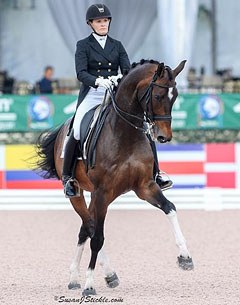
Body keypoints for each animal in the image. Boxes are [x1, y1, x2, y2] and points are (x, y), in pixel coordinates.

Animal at [36, 58, 193, 294]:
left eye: (174, 97)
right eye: (158, 96)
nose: (164, 137)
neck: (124, 132)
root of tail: (63, 128)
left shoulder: (145, 186)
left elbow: (170, 208)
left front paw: (185, 257)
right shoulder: (102, 192)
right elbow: (98, 237)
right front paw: (89, 285)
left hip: (101, 196)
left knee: (86, 228)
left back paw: (92, 276)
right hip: (81, 194)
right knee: (91, 227)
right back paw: (86, 276)